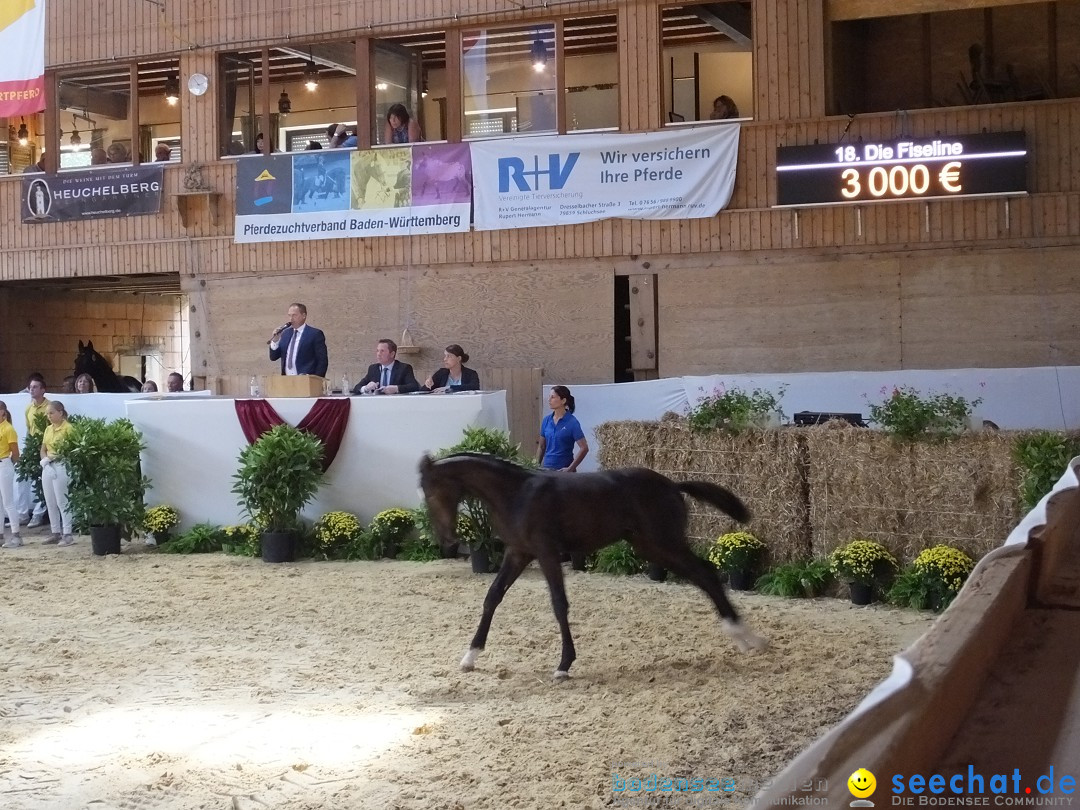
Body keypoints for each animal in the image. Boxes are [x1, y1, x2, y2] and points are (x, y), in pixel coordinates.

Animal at [414, 453, 768, 682]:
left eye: (431, 492)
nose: (446, 539)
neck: (516, 495)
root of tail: (672, 485)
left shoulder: (546, 553)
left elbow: (559, 604)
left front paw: (564, 665)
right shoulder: (518, 553)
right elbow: (492, 597)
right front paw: (470, 657)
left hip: (664, 543)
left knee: (706, 573)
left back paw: (745, 635)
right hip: (652, 546)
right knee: (703, 575)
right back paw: (742, 637)